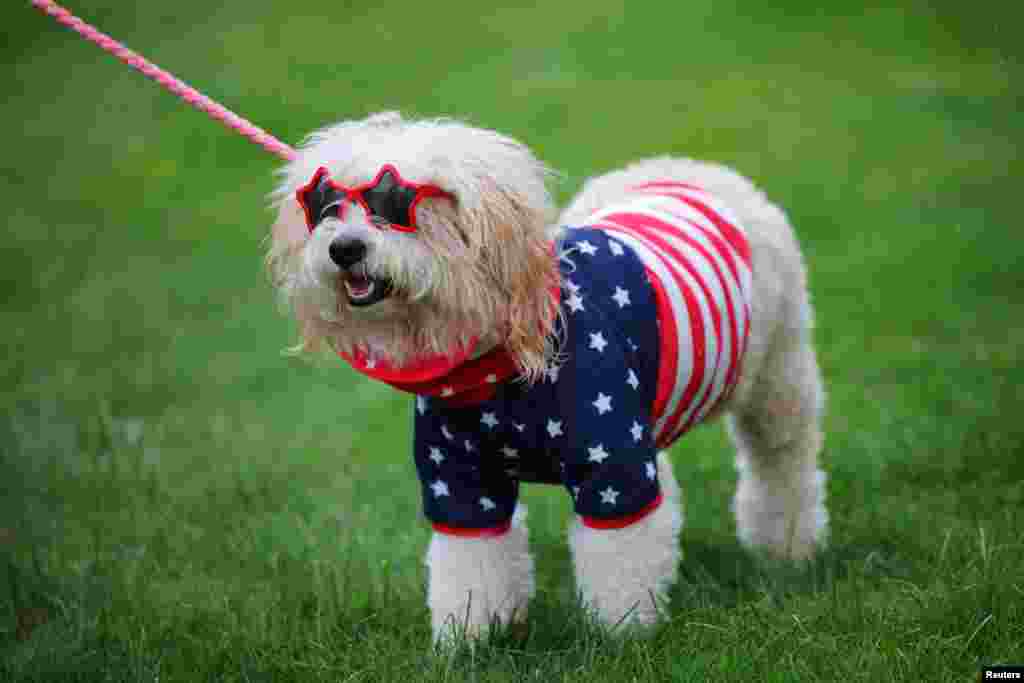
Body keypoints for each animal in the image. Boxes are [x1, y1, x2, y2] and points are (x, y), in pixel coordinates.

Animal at [264, 111, 823, 643]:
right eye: (326, 207)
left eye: (396, 205)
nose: (344, 249)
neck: (495, 372)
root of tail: (683, 167)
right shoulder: (463, 481)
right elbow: (472, 571)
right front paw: (468, 641)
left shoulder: (611, 467)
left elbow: (620, 566)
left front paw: (623, 635)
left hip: (780, 378)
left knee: (783, 464)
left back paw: (788, 545)